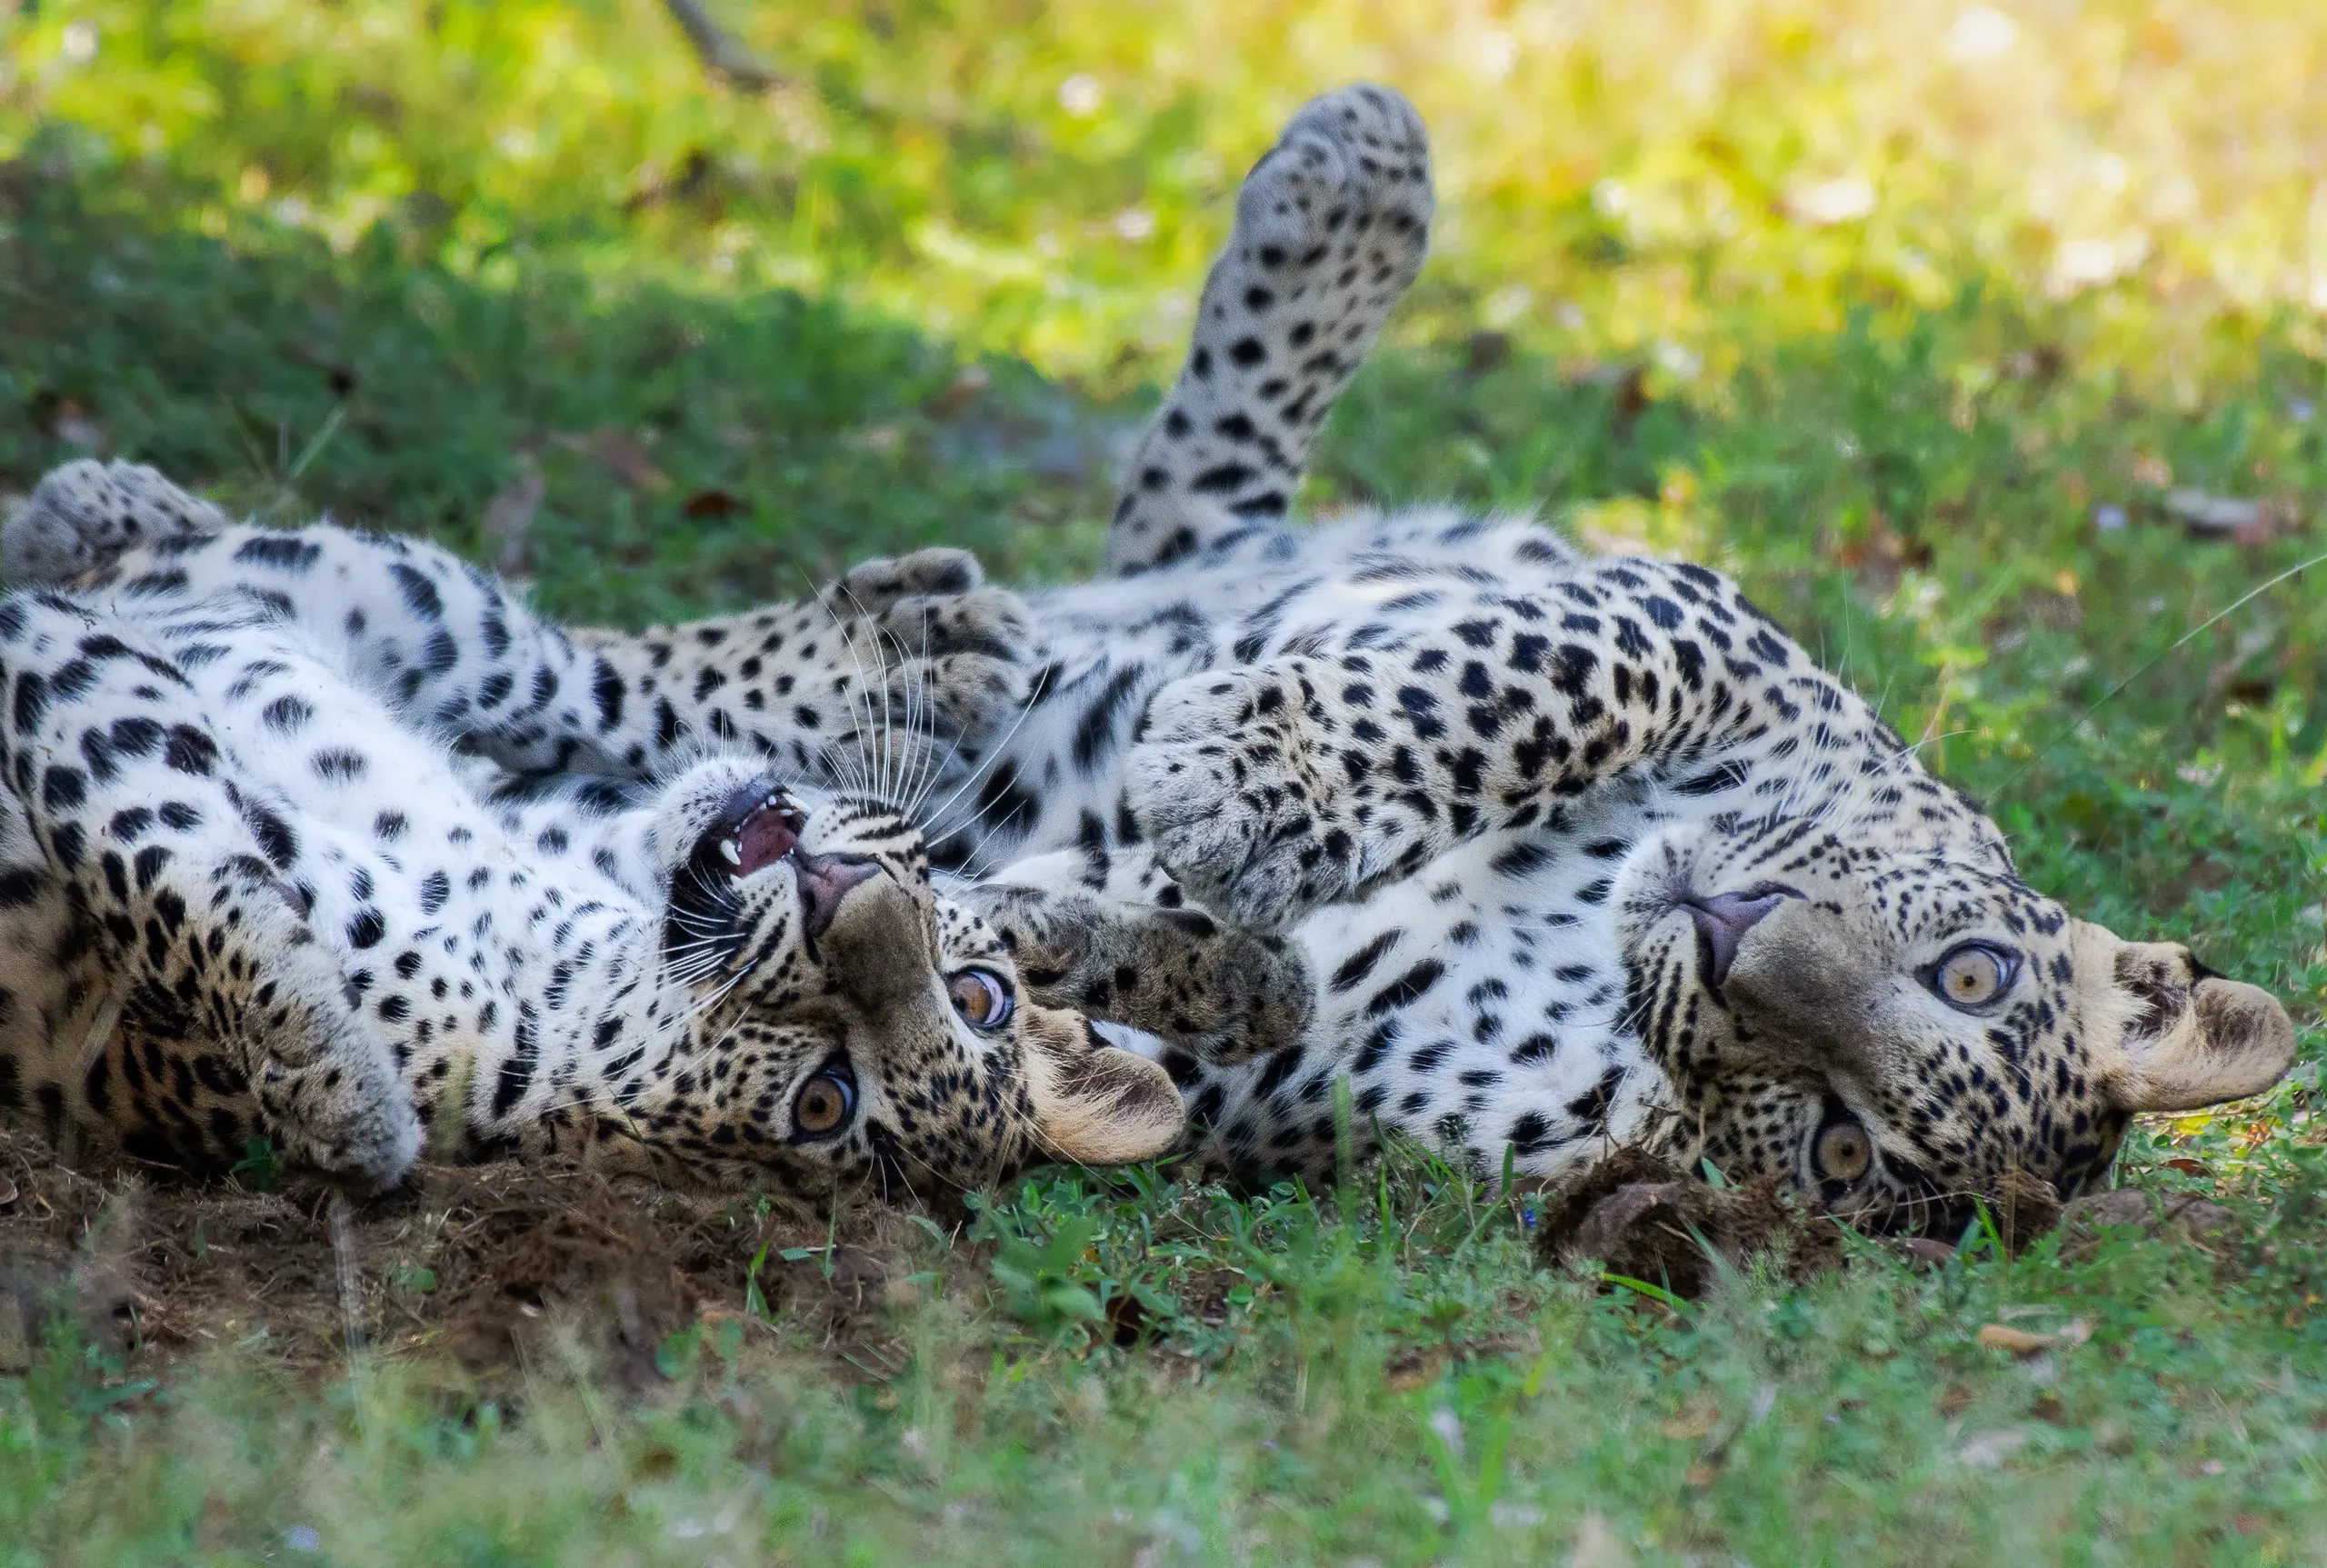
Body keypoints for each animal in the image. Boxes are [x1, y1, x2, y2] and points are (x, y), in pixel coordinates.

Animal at [8, 84, 2296, 1228]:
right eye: (1970, 968)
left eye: (1838, 1146)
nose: (1734, 951)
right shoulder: (1709, 630)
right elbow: (1519, 674)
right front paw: (1254, 785)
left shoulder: (1302, 1088)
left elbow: (1150, 964)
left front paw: (1122, 905)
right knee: (1189, 516)